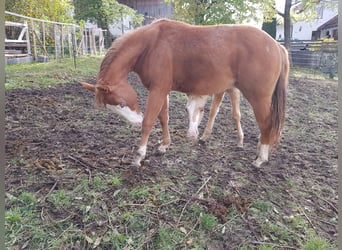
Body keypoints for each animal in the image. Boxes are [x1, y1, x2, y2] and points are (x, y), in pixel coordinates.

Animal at [80, 19, 288, 168]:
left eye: (122, 103)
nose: (135, 121)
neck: (151, 44)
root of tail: (276, 45)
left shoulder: (157, 90)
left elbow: (149, 121)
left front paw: (139, 155)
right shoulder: (162, 90)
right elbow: (163, 118)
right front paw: (164, 145)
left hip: (258, 98)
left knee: (267, 124)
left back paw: (261, 157)